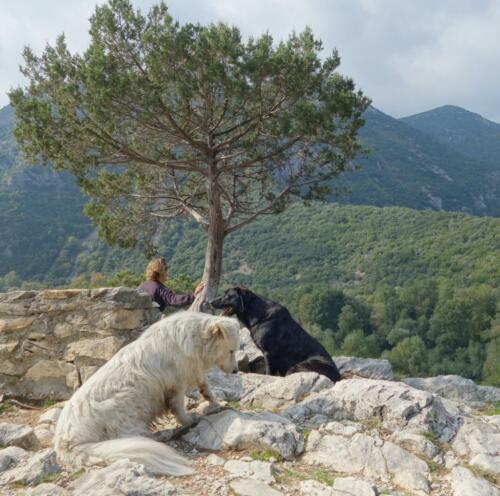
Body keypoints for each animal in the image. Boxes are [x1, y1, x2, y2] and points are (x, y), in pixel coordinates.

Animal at [54, 310, 240, 476]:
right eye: (231, 351)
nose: (236, 371)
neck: (195, 339)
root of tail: (66, 442)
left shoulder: (194, 371)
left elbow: (205, 386)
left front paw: (214, 402)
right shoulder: (176, 385)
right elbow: (179, 407)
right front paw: (189, 419)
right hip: (126, 401)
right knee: (133, 436)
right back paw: (165, 434)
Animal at [209, 286, 342, 384]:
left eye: (228, 296)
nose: (210, 301)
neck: (258, 314)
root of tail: (338, 376)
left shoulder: (269, 354)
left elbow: (269, 372)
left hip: (299, 366)